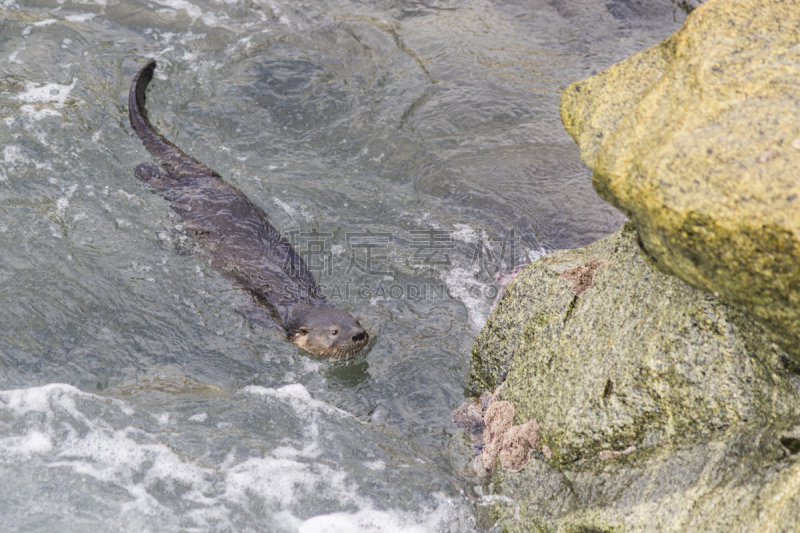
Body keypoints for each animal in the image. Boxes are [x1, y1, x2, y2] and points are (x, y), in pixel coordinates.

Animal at [128, 59, 368, 358]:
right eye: (334, 332)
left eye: (355, 321)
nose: (358, 334)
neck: (297, 302)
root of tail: (204, 176)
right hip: (179, 193)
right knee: (157, 179)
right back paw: (142, 170)